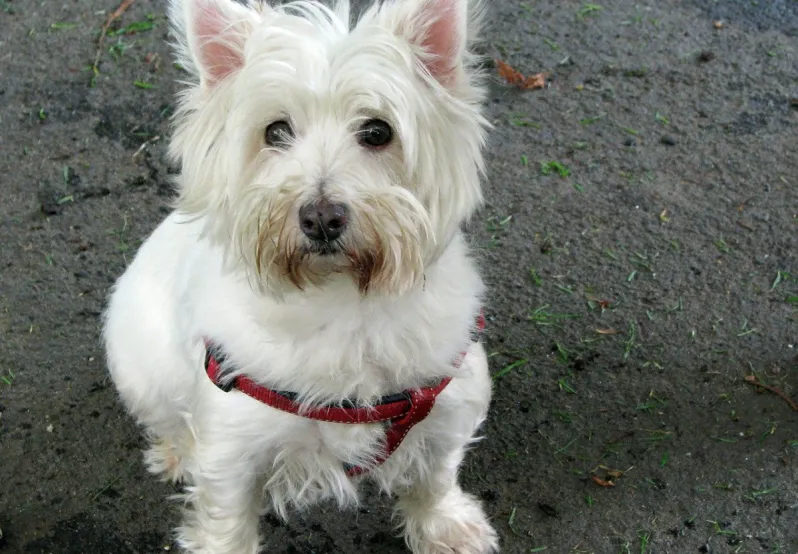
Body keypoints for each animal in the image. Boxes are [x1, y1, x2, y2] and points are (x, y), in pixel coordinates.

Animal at [103, 0, 496, 548]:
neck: (341, 301)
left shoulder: (448, 396)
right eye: (275, 131)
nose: (321, 217)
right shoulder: (233, 442)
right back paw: (176, 451)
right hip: (140, 366)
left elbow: (436, 472)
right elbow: (226, 517)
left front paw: (447, 528)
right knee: (166, 417)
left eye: (378, 131)